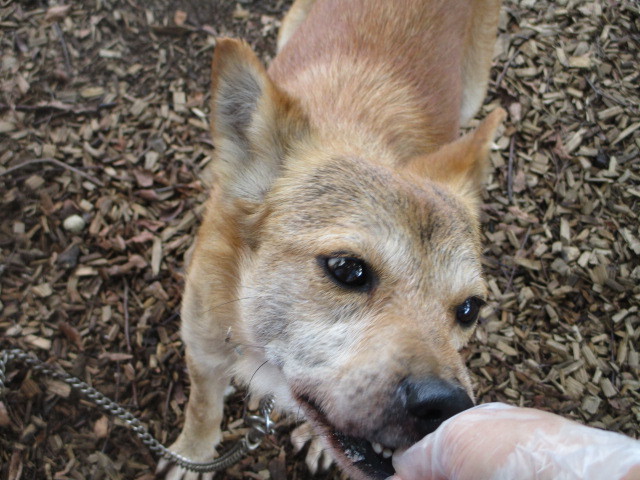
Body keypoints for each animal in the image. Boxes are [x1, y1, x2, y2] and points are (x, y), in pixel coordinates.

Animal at [158, 0, 502, 480]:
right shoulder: (202, 352)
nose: (447, 407)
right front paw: (193, 454)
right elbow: (202, 409)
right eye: (348, 269)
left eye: (469, 309)